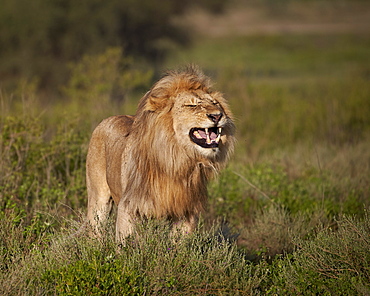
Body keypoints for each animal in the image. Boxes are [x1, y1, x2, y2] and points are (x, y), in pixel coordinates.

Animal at [86, 66, 236, 242]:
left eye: (215, 103)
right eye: (191, 106)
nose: (217, 115)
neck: (176, 158)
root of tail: (107, 119)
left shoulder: (186, 211)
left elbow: (179, 244)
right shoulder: (129, 205)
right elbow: (125, 243)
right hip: (98, 197)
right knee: (95, 227)